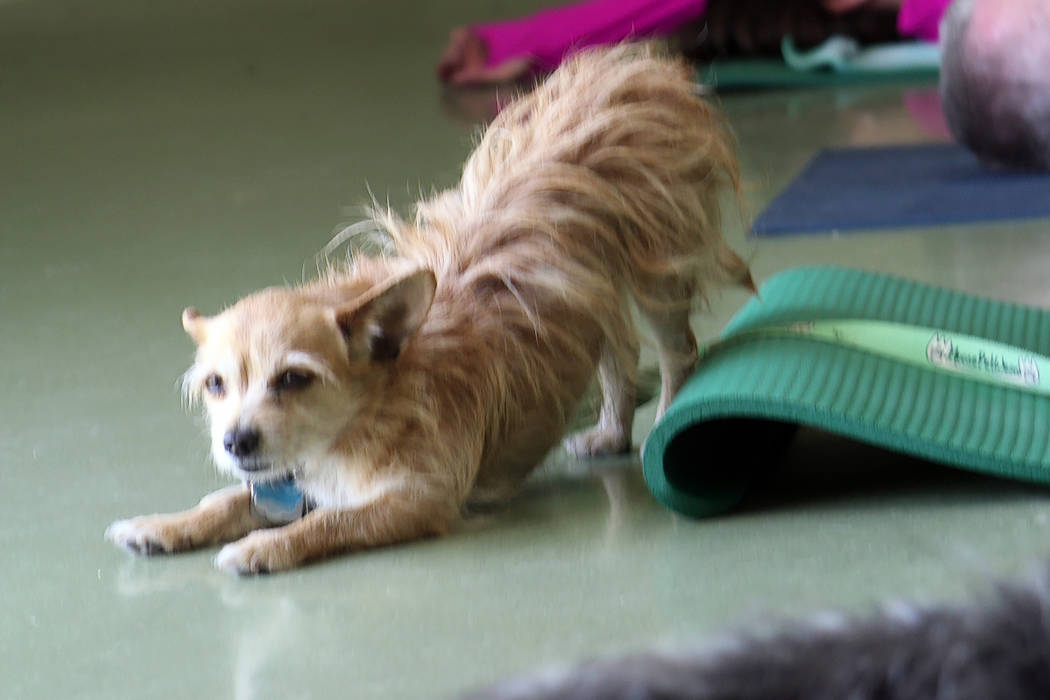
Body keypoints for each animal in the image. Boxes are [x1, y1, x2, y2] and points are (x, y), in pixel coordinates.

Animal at [104, 48, 755, 575]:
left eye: (294, 379)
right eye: (216, 385)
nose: (236, 441)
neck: (359, 422)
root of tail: (632, 69)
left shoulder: (418, 498)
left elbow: (329, 521)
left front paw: (266, 546)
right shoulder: (293, 482)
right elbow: (231, 499)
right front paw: (166, 525)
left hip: (657, 277)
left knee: (676, 351)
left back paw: (661, 421)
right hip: (597, 294)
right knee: (618, 356)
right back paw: (611, 431)